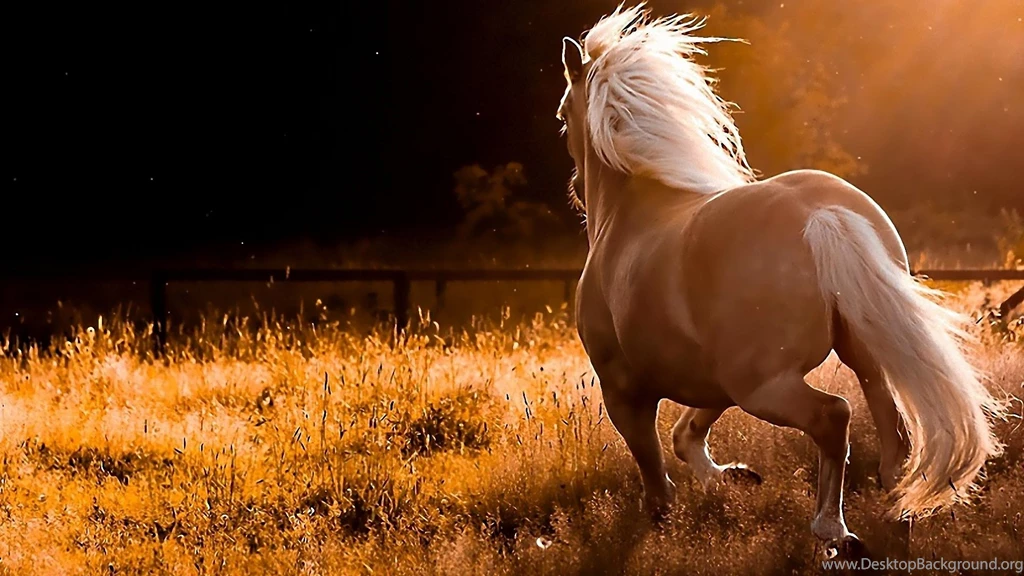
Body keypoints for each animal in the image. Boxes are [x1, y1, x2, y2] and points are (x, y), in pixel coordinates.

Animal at [555, 3, 1004, 553]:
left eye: (563, 116)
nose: (576, 191)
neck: (629, 215)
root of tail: (822, 215)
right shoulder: (712, 380)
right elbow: (686, 436)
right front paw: (733, 477)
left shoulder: (624, 389)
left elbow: (654, 470)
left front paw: (663, 521)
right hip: (857, 358)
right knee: (892, 431)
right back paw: (896, 511)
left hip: (764, 386)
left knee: (834, 417)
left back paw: (834, 529)